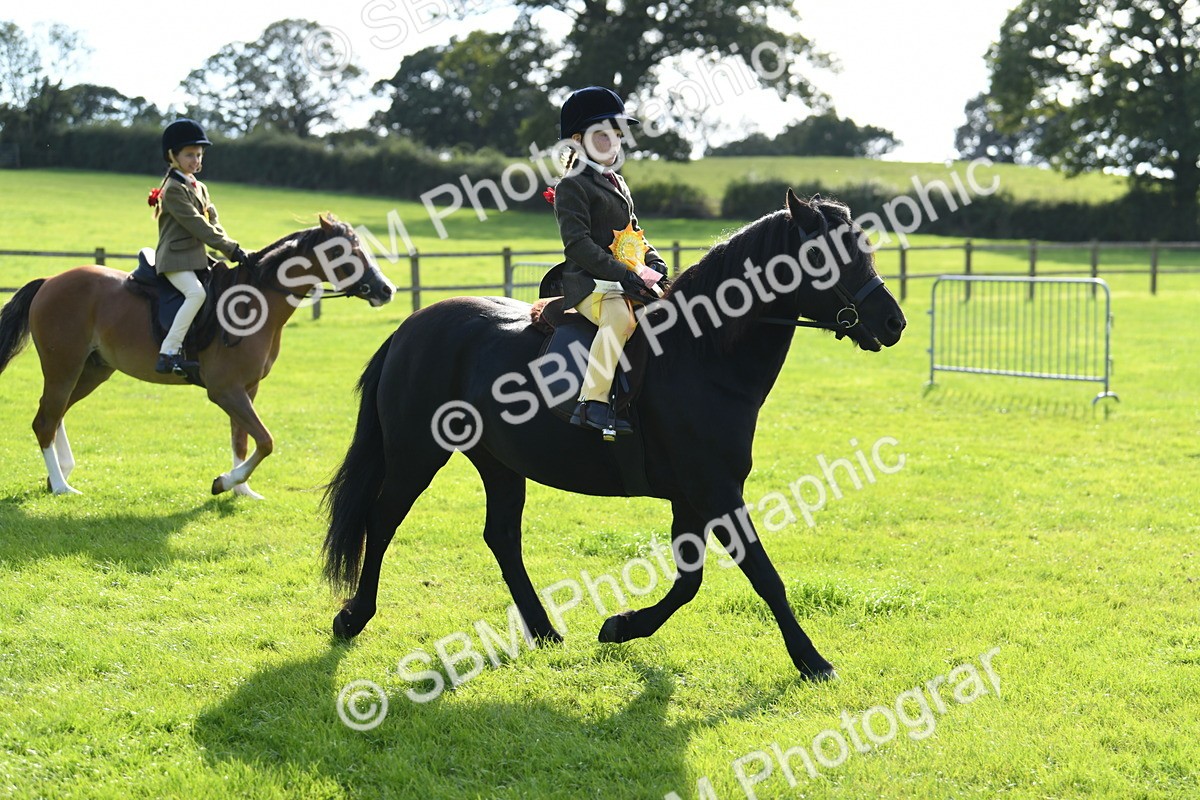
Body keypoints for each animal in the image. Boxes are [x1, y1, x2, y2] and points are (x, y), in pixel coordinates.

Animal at [0, 215, 395, 497]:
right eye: (342, 253)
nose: (387, 290)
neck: (259, 299)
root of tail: (50, 281)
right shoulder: (225, 390)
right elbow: (265, 440)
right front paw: (223, 483)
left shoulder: (247, 389)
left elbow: (243, 438)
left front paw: (242, 490)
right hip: (63, 366)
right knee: (45, 420)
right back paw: (61, 486)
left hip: (93, 370)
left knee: (55, 414)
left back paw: (61, 474)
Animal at [322, 191, 906, 680]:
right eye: (828, 256)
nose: (893, 323)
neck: (701, 353)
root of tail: (411, 327)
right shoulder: (715, 492)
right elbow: (763, 575)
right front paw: (813, 661)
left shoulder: (692, 498)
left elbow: (689, 581)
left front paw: (622, 626)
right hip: (416, 455)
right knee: (383, 519)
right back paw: (353, 617)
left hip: (500, 463)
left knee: (501, 536)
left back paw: (544, 631)